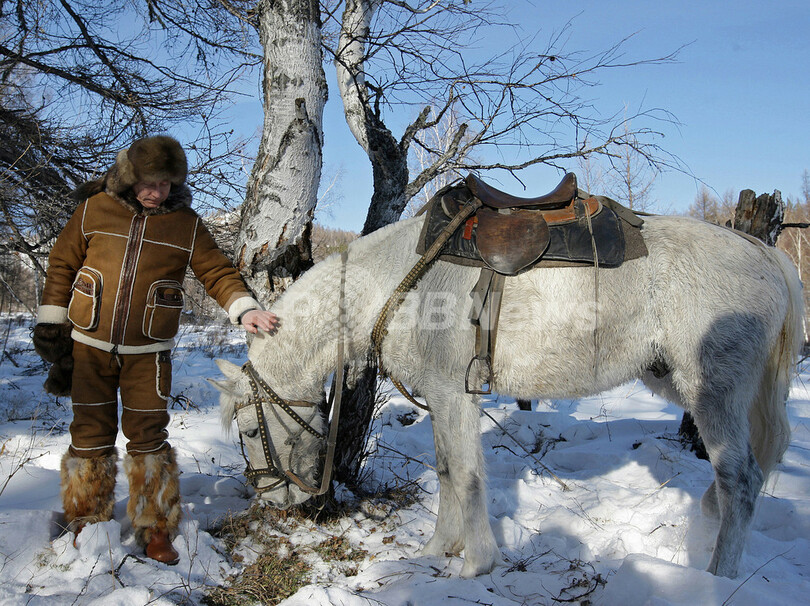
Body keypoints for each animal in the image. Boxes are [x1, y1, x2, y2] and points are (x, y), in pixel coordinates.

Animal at [210, 212, 803, 579]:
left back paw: (717, 579)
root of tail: (765, 254)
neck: (393, 282)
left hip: (715, 394)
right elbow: (448, 472)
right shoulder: (440, 398)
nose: (276, 501)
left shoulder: (455, 396)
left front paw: (476, 565)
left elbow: (468, 476)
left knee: (740, 480)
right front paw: (436, 551)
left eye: (249, 429)